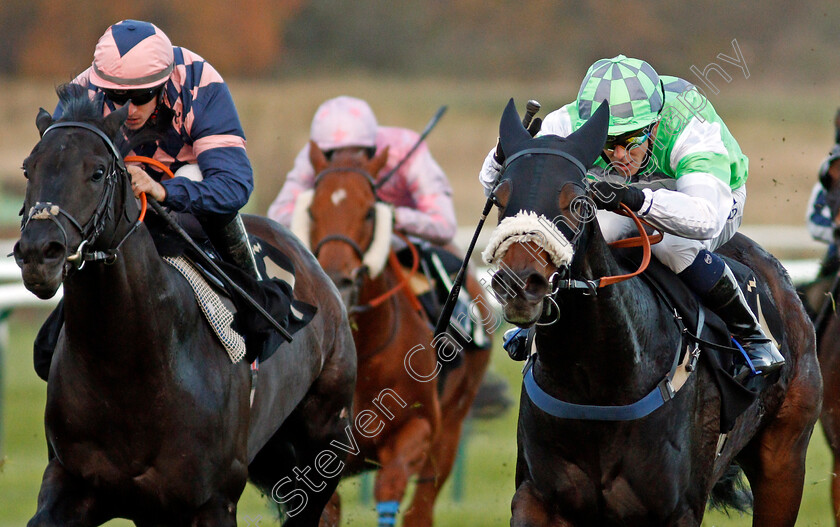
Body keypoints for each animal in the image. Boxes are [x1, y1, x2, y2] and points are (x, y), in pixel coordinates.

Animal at [13, 85, 356, 524]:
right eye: (29, 169)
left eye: (97, 172)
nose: (39, 253)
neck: (130, 365)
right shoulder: (72, 482)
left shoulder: (213, 502)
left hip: (323, 445)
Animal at [290, 142, 492, 524]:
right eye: (311, 209)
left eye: (370, 212)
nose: (337, 280)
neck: (362, 347)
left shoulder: (416, 428)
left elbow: (390, 488)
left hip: (452, 426)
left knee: (421, 507)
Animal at [486, 100, 820, 527]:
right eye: (499, 198)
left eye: (578, 202)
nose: (519, 284)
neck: (596, 385)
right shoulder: (537, 498)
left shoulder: (676, 510)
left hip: (784, 460)